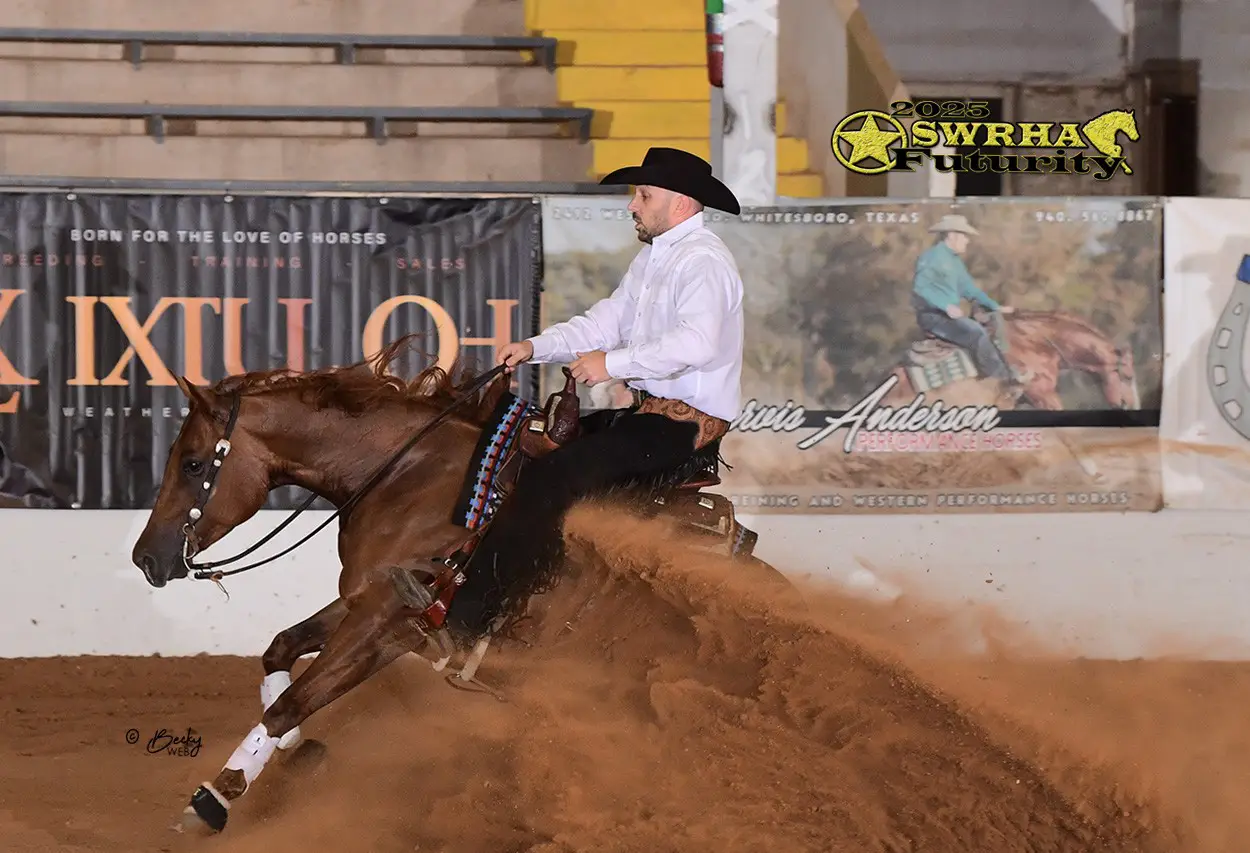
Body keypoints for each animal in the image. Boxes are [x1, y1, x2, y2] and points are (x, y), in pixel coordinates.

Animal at [128, 334, 769, 834]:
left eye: (192, 462)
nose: (145, 559)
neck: (408, 476)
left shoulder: (382, 621)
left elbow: (292, 702)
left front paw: (214, 797)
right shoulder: (375, 606)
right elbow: (280, 651)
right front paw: (295, 750)